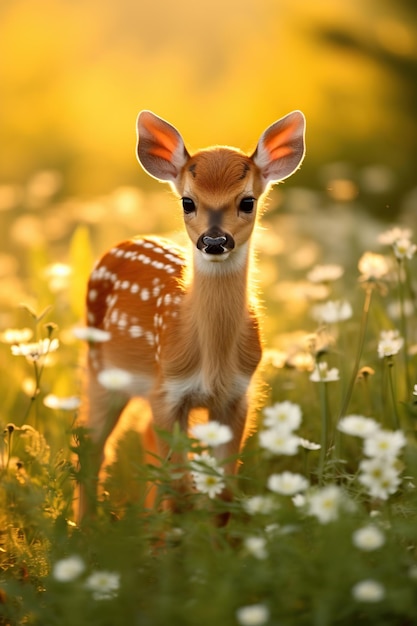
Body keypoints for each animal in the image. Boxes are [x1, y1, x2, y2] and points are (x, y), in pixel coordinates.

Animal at [79, 108, 306, 516]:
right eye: (188, 201)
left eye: (247, 201)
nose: (214, 241)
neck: (212, 359)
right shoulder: (167, 389)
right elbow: (182, 492)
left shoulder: (236, 396)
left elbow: (223, 494)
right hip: (99, 369)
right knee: (94, 447)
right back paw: (84, 527)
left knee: (142, 439)